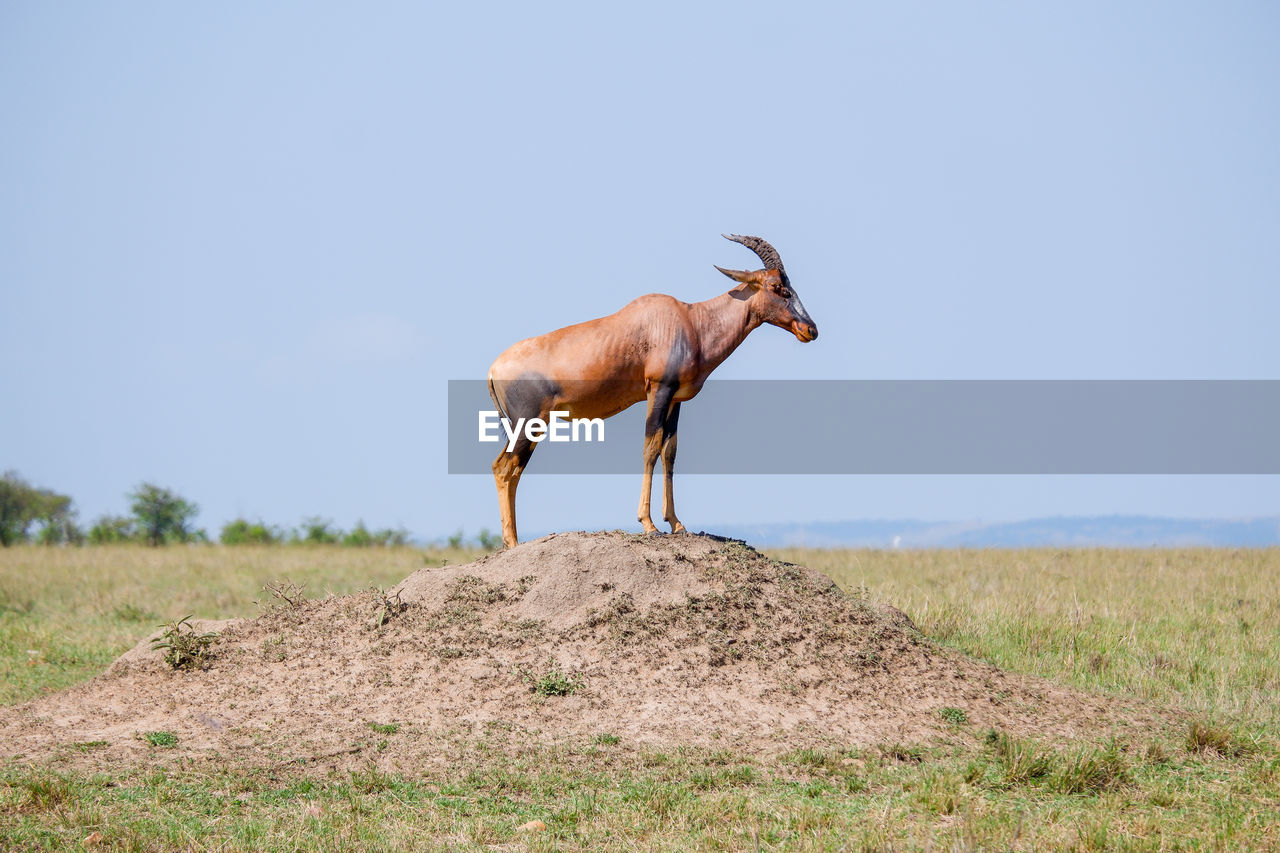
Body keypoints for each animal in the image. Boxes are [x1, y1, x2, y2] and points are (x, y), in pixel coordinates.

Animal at [488, 234, 819, 545]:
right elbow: (650, 446)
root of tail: (494, 368)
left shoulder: (676, 398)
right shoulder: (658, 389)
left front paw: (676, 523)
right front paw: (648, 524)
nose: (811, 330)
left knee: (511, 469)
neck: (690, 320)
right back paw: (513, 543)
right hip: (527, 423)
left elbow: (669, 451)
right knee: (504, 468)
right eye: (777, 286)